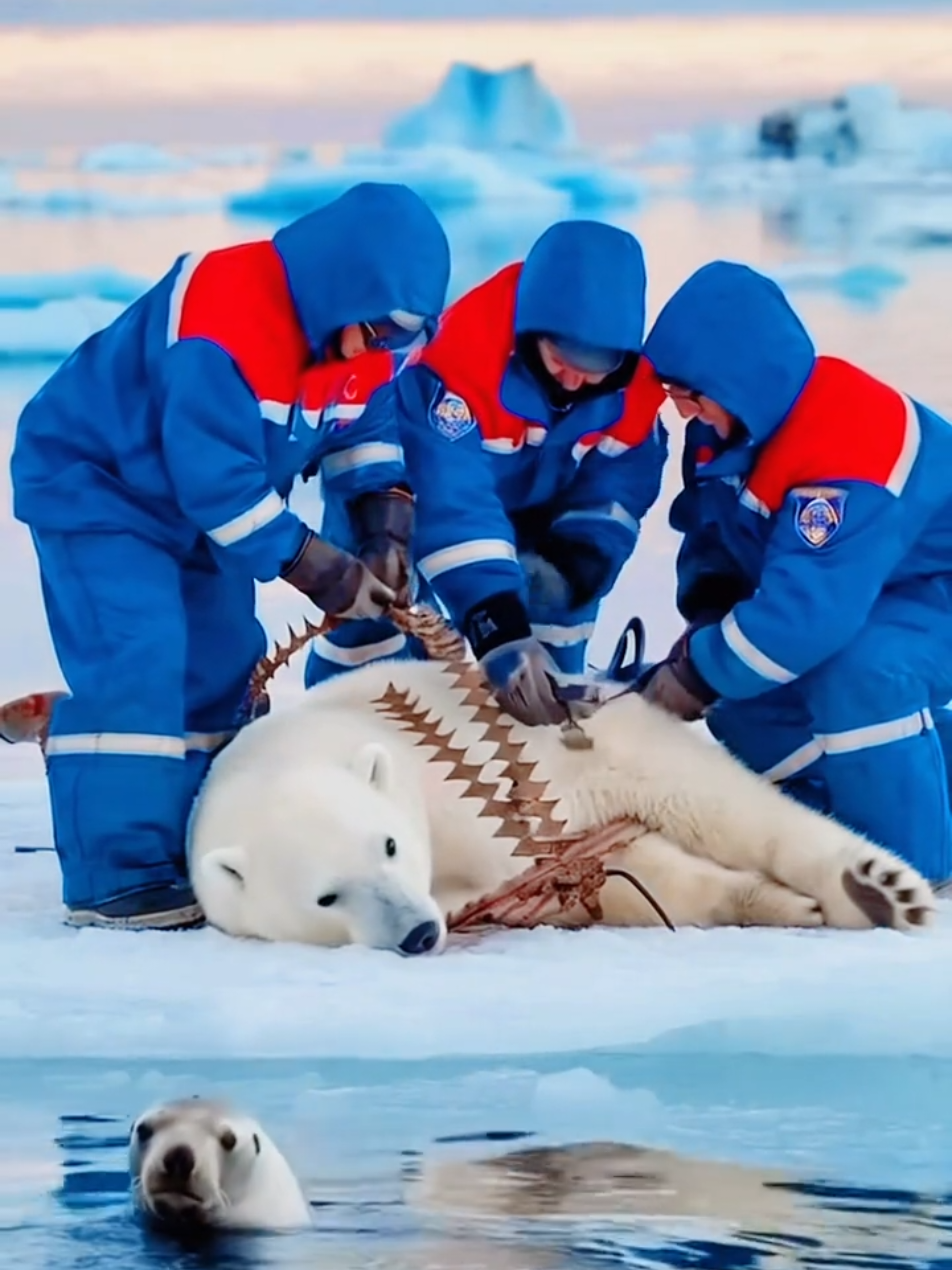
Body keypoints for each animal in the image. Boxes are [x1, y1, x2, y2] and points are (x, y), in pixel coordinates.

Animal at [187, 650, 939, 949]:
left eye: (389, 845)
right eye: (326, 896)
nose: (419, 932)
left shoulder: (485, 770)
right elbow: (622, 882)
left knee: (723, 805)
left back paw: (880, 890)